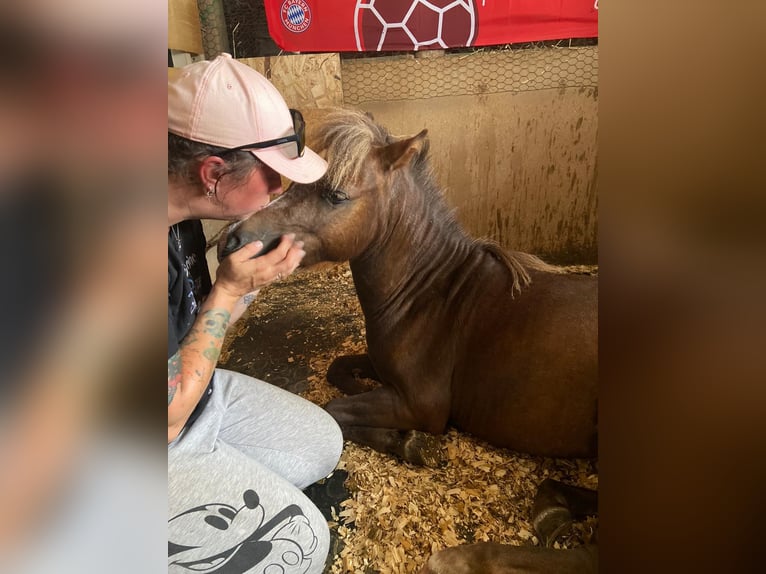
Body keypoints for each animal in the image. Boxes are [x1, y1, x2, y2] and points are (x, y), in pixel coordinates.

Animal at [220, 107, 598, 467]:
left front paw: (412, 443)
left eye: (336, 195)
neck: (432, 294)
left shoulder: (420, 405)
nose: (232, 239)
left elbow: (335, 409)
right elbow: (338, 368)